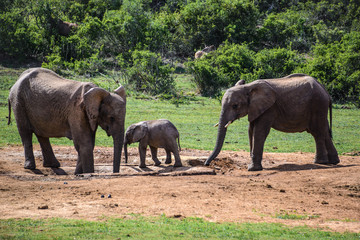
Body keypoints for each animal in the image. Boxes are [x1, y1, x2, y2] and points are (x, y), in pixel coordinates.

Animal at [205, 73, 340, 171]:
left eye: (235, 106)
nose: (207, 164)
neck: (248, 87)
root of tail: (325, 90)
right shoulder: (255, 108)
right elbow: (251, 130)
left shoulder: (269, 108)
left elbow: (260, 132)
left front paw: (252, 169)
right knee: (323, 130)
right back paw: (333, 162)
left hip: (318, 104)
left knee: (317, 131)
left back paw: (320, 162)